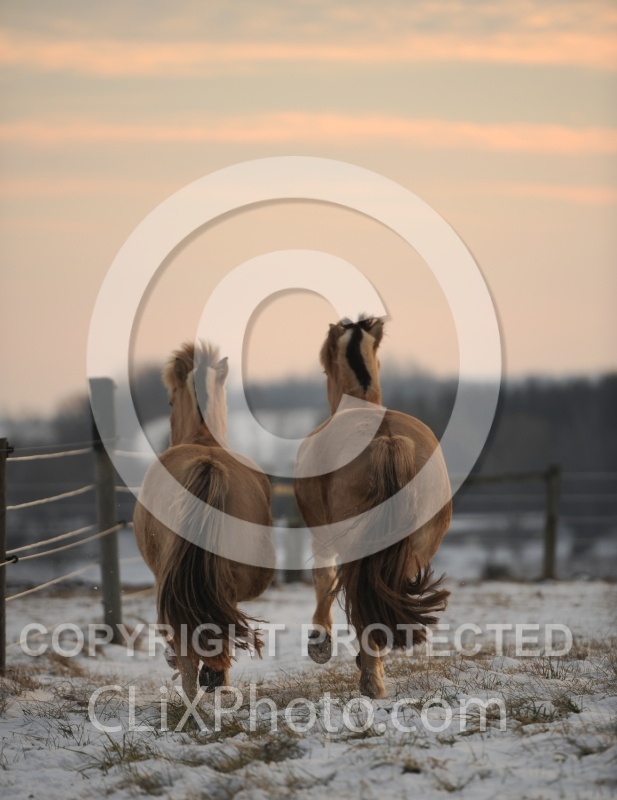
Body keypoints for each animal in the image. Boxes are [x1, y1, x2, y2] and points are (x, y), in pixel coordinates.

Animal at [294, 317, 452, 698]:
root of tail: (388, 439)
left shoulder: (320, 533)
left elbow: (324, 577)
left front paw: (320, 642)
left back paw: (370, 678)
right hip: (413, 549)